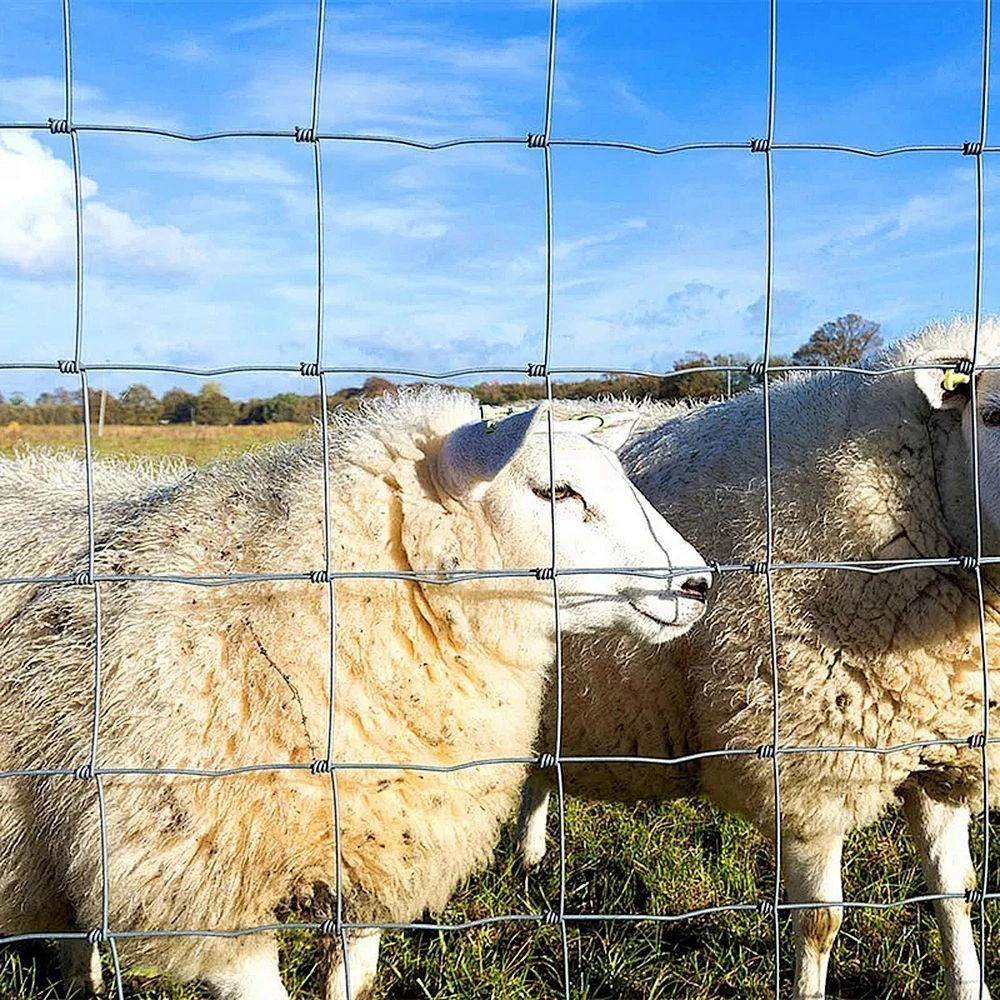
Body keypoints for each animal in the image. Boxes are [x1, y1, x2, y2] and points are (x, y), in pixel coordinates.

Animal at [516, 318, 1000, 1000]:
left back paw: (531, 857)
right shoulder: (804, 767)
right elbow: (821, 922)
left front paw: (969, 983)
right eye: (991, 414)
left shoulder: (938, 747)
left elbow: (955, 895)